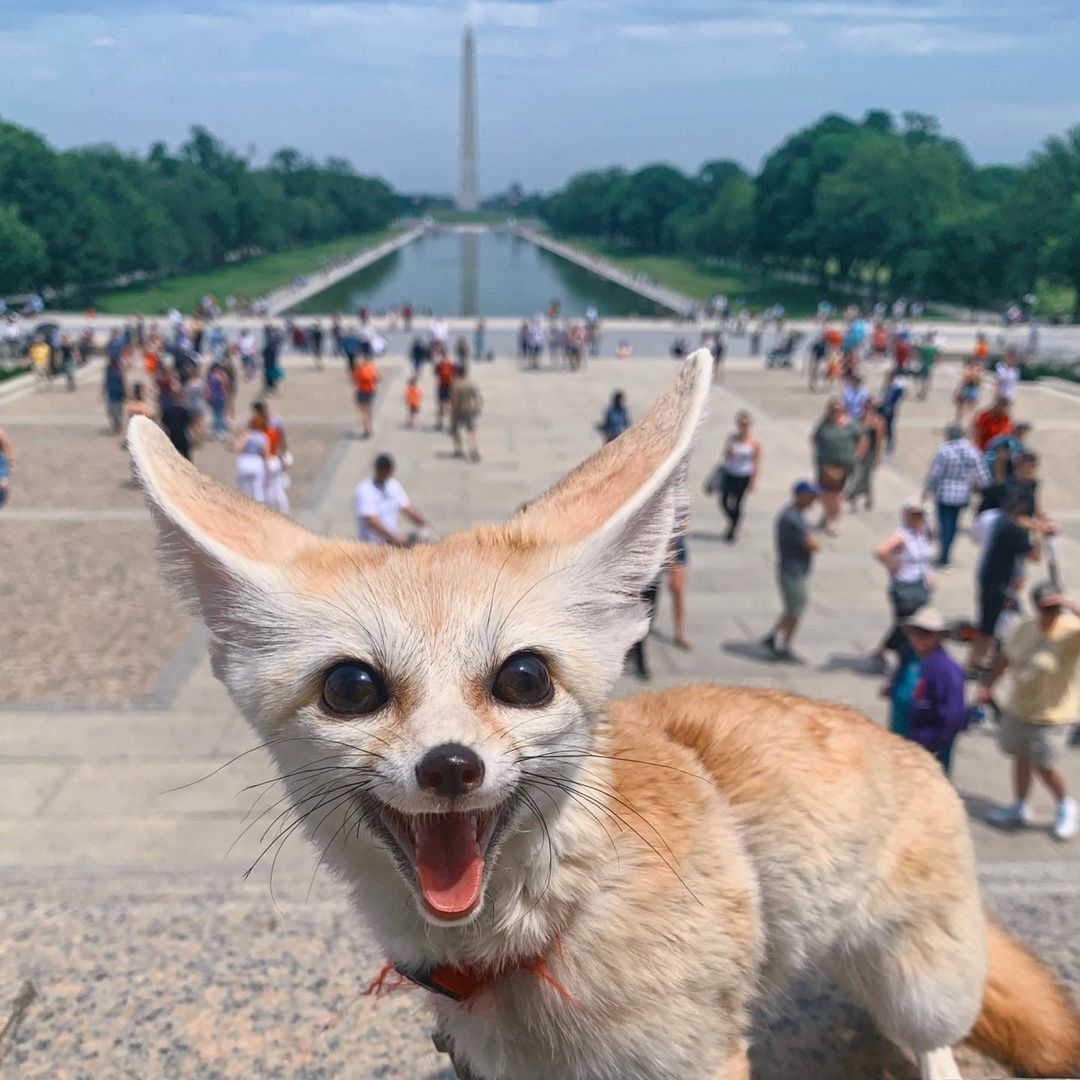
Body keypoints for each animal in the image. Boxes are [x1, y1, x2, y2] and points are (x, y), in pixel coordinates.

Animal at [127, 350, 1080, 1080]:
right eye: (352, 690)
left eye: (523, 678)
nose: (450, 766)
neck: (529, 943)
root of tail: (907, 746)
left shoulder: (699, 1060)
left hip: (924, 988)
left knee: (940, 1046)